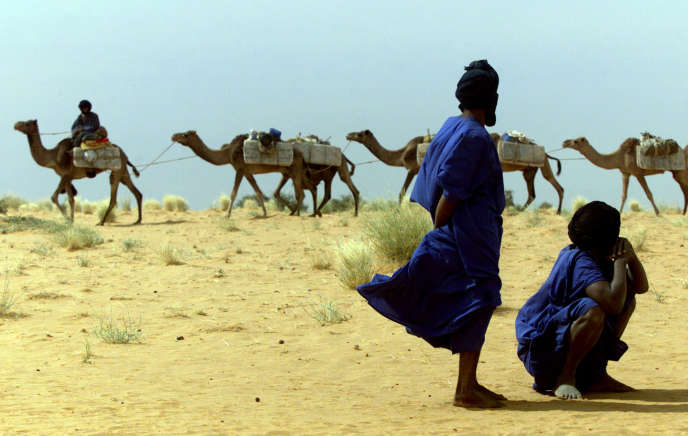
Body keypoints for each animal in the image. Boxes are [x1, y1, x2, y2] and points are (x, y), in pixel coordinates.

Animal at [14, 119, 142, 225]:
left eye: (27, 123)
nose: (16, 124)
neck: (53, 157)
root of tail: (125, 155)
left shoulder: (65, 175)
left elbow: (54, 197)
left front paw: (67, 218)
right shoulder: (67, 177)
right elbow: (71, 199)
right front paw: (71, 220)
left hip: (116, 171)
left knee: (113, 197)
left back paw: (101, 222)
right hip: (123, 171)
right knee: (136, 192)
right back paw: (138, 220)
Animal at [171, 130, 306, 217]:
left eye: (185, 135)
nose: (173, 136)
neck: (227, 153)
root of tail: (300, 153)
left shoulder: (240, 169)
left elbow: (233, 193)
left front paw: (227, 214)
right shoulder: (247, 172)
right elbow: (258, 191)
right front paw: (264, 213)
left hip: (295, 169)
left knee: (300, 194)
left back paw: (297, 214)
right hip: (289, 172)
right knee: (298, 193)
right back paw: (293, 212)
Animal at [344, 127, 564, 213]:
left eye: (360, 134)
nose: (348, 135)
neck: (401, 153)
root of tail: (544, 152)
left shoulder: (413, 169)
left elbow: (402, 192)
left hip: (539, 166)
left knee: (554, 186)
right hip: (530, 170)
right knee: (533, 192)